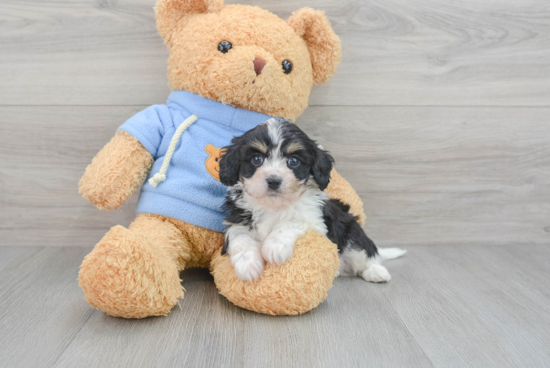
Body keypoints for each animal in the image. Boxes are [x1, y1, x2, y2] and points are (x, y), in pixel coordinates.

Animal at [219, 118, 406, 282]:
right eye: (257, 159)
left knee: (364, 253)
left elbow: (291, 222)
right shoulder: (238, 221)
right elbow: (240, 238)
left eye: (294, 161)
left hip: (350, 232)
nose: (273, 180)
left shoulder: (315, 220)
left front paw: (275, 246)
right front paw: (247, 265)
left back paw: (376, 272)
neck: (274, 205)